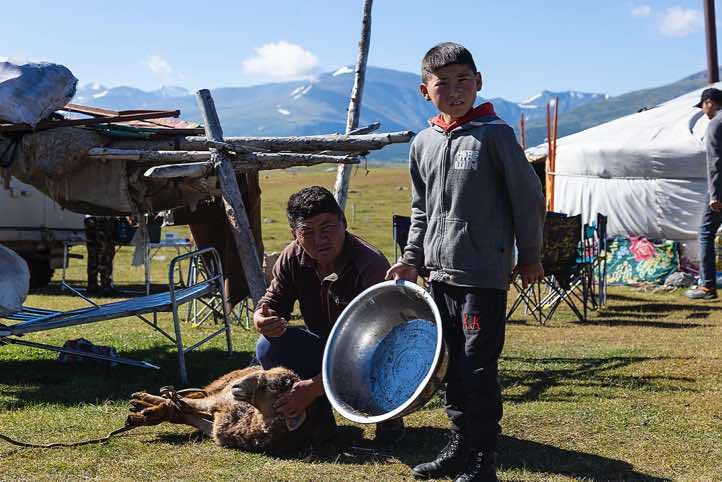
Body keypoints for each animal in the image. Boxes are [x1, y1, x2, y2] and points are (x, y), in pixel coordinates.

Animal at [126, 366, 328, 454]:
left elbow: (189, 415)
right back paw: (144, 400)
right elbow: (190, 405)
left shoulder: (217, 427)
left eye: (272, 387)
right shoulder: (220, 402)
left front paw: (152, 412)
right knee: (197, 397)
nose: (237, 385)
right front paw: (157, 402)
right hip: (219, 387)